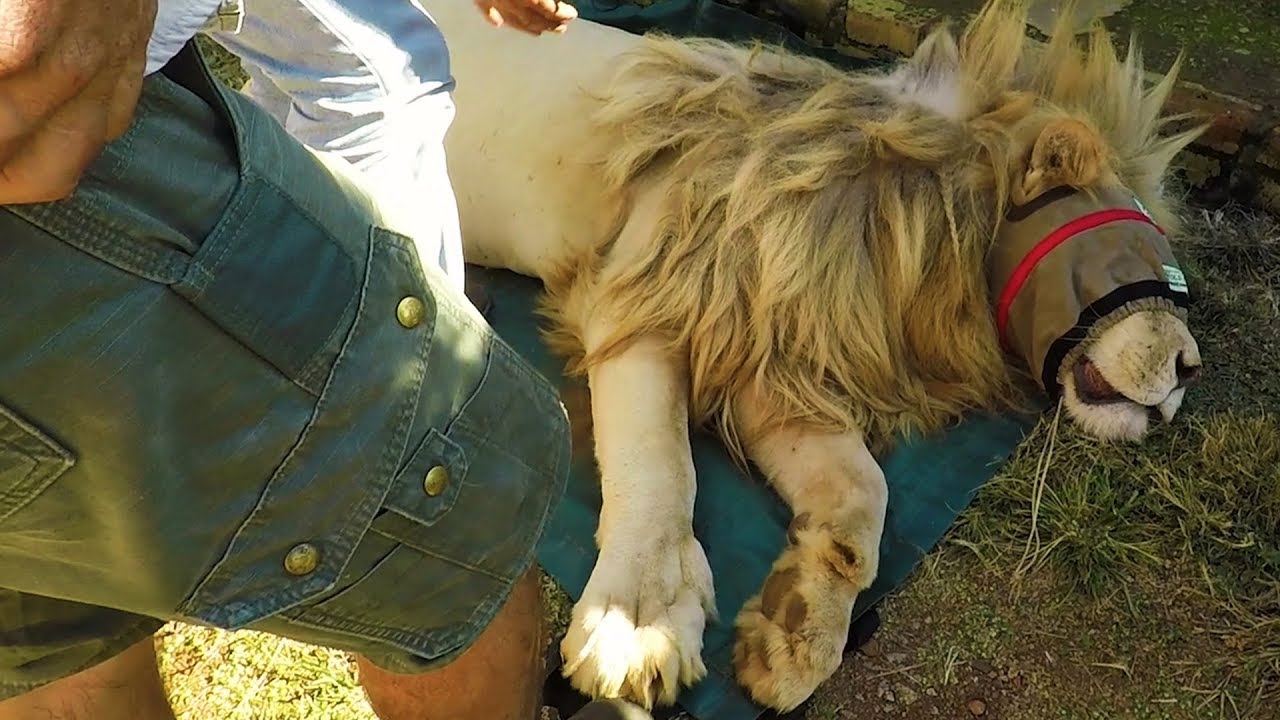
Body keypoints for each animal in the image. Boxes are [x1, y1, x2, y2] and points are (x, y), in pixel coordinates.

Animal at [419, 0, 1206, 711]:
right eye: (1134, 255)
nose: (1189, 373)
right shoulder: (643, 293)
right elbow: (659, 465)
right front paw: (640, 623)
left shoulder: (775, 356)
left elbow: (863, 492)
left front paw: (797, 632)